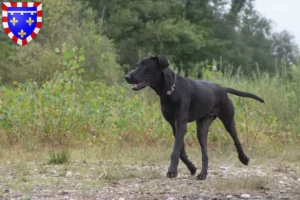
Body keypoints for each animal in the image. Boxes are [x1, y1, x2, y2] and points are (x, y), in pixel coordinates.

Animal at [123, 55, 264, 180]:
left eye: (144, 66)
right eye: (137, 65)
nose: (126, 77)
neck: (170, 90)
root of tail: (222, 88)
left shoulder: (181, 124)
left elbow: (175, 150)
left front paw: (172, 171)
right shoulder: (174, 125)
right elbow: (180, 151)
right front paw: (191, 168)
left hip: (228, 120)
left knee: (236, 140)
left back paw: (244, 159)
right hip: (202, 128)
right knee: (205, 153)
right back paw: (203, 174)